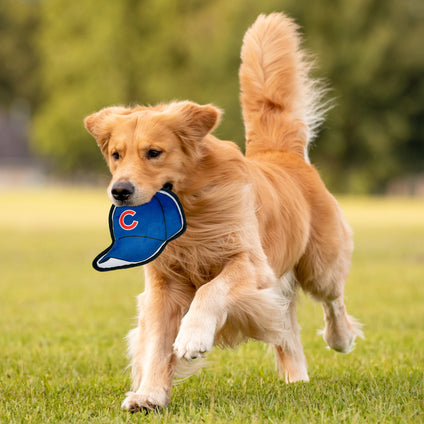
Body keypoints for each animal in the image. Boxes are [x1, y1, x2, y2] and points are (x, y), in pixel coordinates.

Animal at [84, 12, 362, 410]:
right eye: (116, 154)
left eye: (154, 153)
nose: (119, 191)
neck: (192, 212)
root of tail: (281, 153)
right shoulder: (162, 284)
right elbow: (156, 343)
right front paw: (149, 393)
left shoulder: (250, 263)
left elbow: (210, 290)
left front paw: (193, 336)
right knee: (288, 329)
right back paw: (296, 378)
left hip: (319, 264)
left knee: (333, 299)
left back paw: (340, 338)